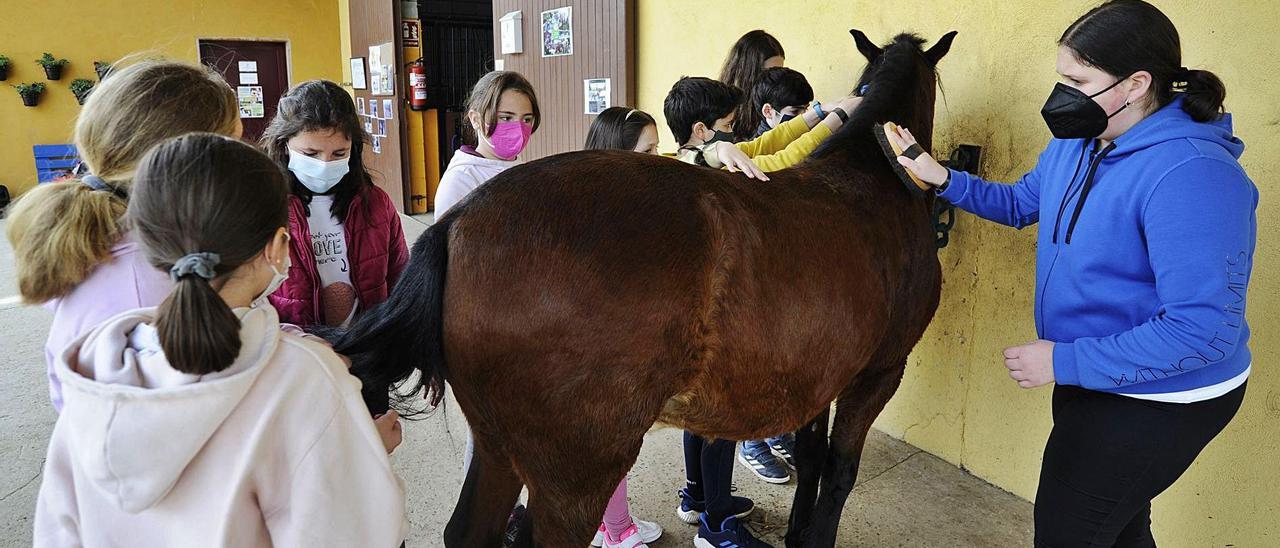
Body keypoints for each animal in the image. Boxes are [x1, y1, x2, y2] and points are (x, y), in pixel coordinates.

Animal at [335, 29, 957, 548]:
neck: (875, 174)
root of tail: (459, 224)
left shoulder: (822, 375)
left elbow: (811, 459)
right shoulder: (877, 373)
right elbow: (840, 470)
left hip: (498, 449)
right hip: (574, 475)